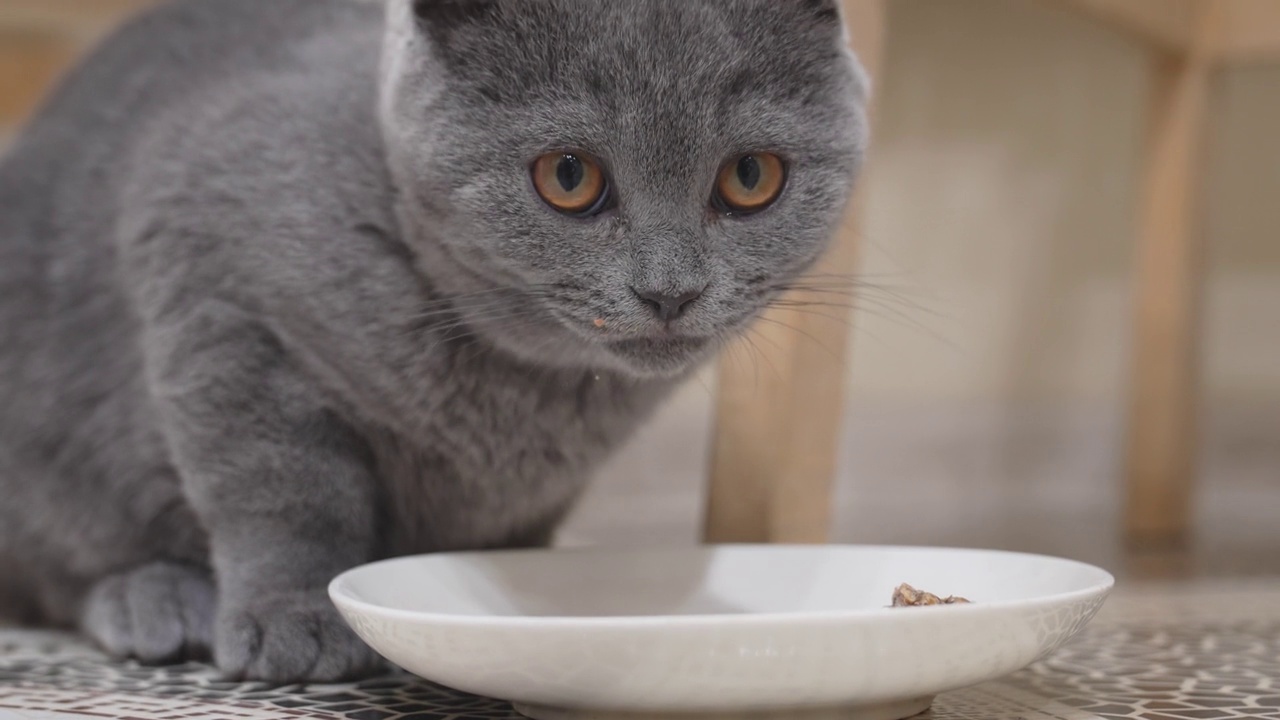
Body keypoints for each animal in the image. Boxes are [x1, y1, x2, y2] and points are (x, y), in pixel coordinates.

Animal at [0, 0, 870, 676]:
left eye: (751, 177)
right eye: (569, 176)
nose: (669, 291)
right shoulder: (219, 295)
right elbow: (287, 494)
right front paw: (296, 622)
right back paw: (155, 601)